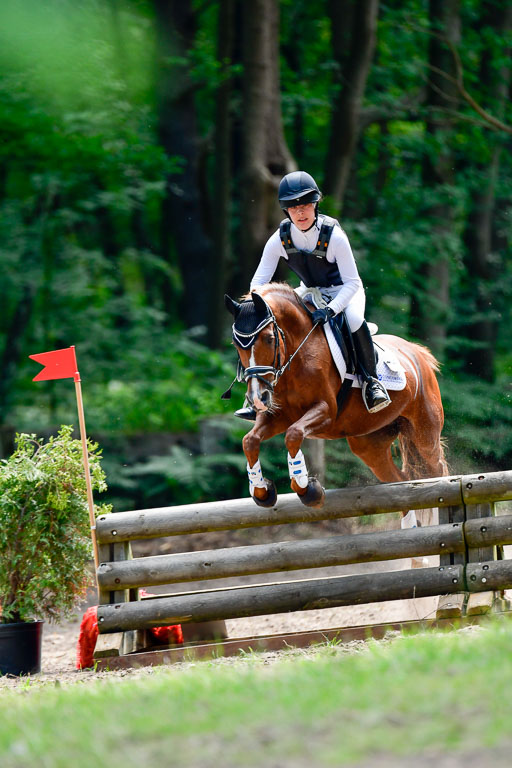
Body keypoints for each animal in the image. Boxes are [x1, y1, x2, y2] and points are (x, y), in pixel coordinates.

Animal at [225, 282, 448, 510]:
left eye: (269, 339)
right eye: (236, 344)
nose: (257, 398)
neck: (297, 353)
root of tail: (418, 353)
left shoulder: (326, 412)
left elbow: (294, 434)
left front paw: (307, 489)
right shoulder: (278, 416)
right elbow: (249, 441)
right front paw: (261, 490)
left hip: (425, 433)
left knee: (436, 469)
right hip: (370, 444)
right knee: (401, 480)